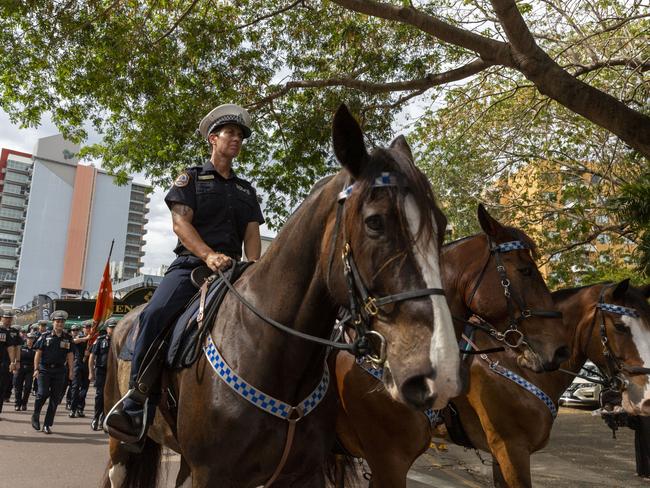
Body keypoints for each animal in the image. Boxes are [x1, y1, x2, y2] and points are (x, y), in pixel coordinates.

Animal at [101, 105, 460, 486]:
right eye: (375, 222)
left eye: (441, 224)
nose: (441, 370)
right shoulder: (213, 474)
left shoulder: (305, 473)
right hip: (120, 444)